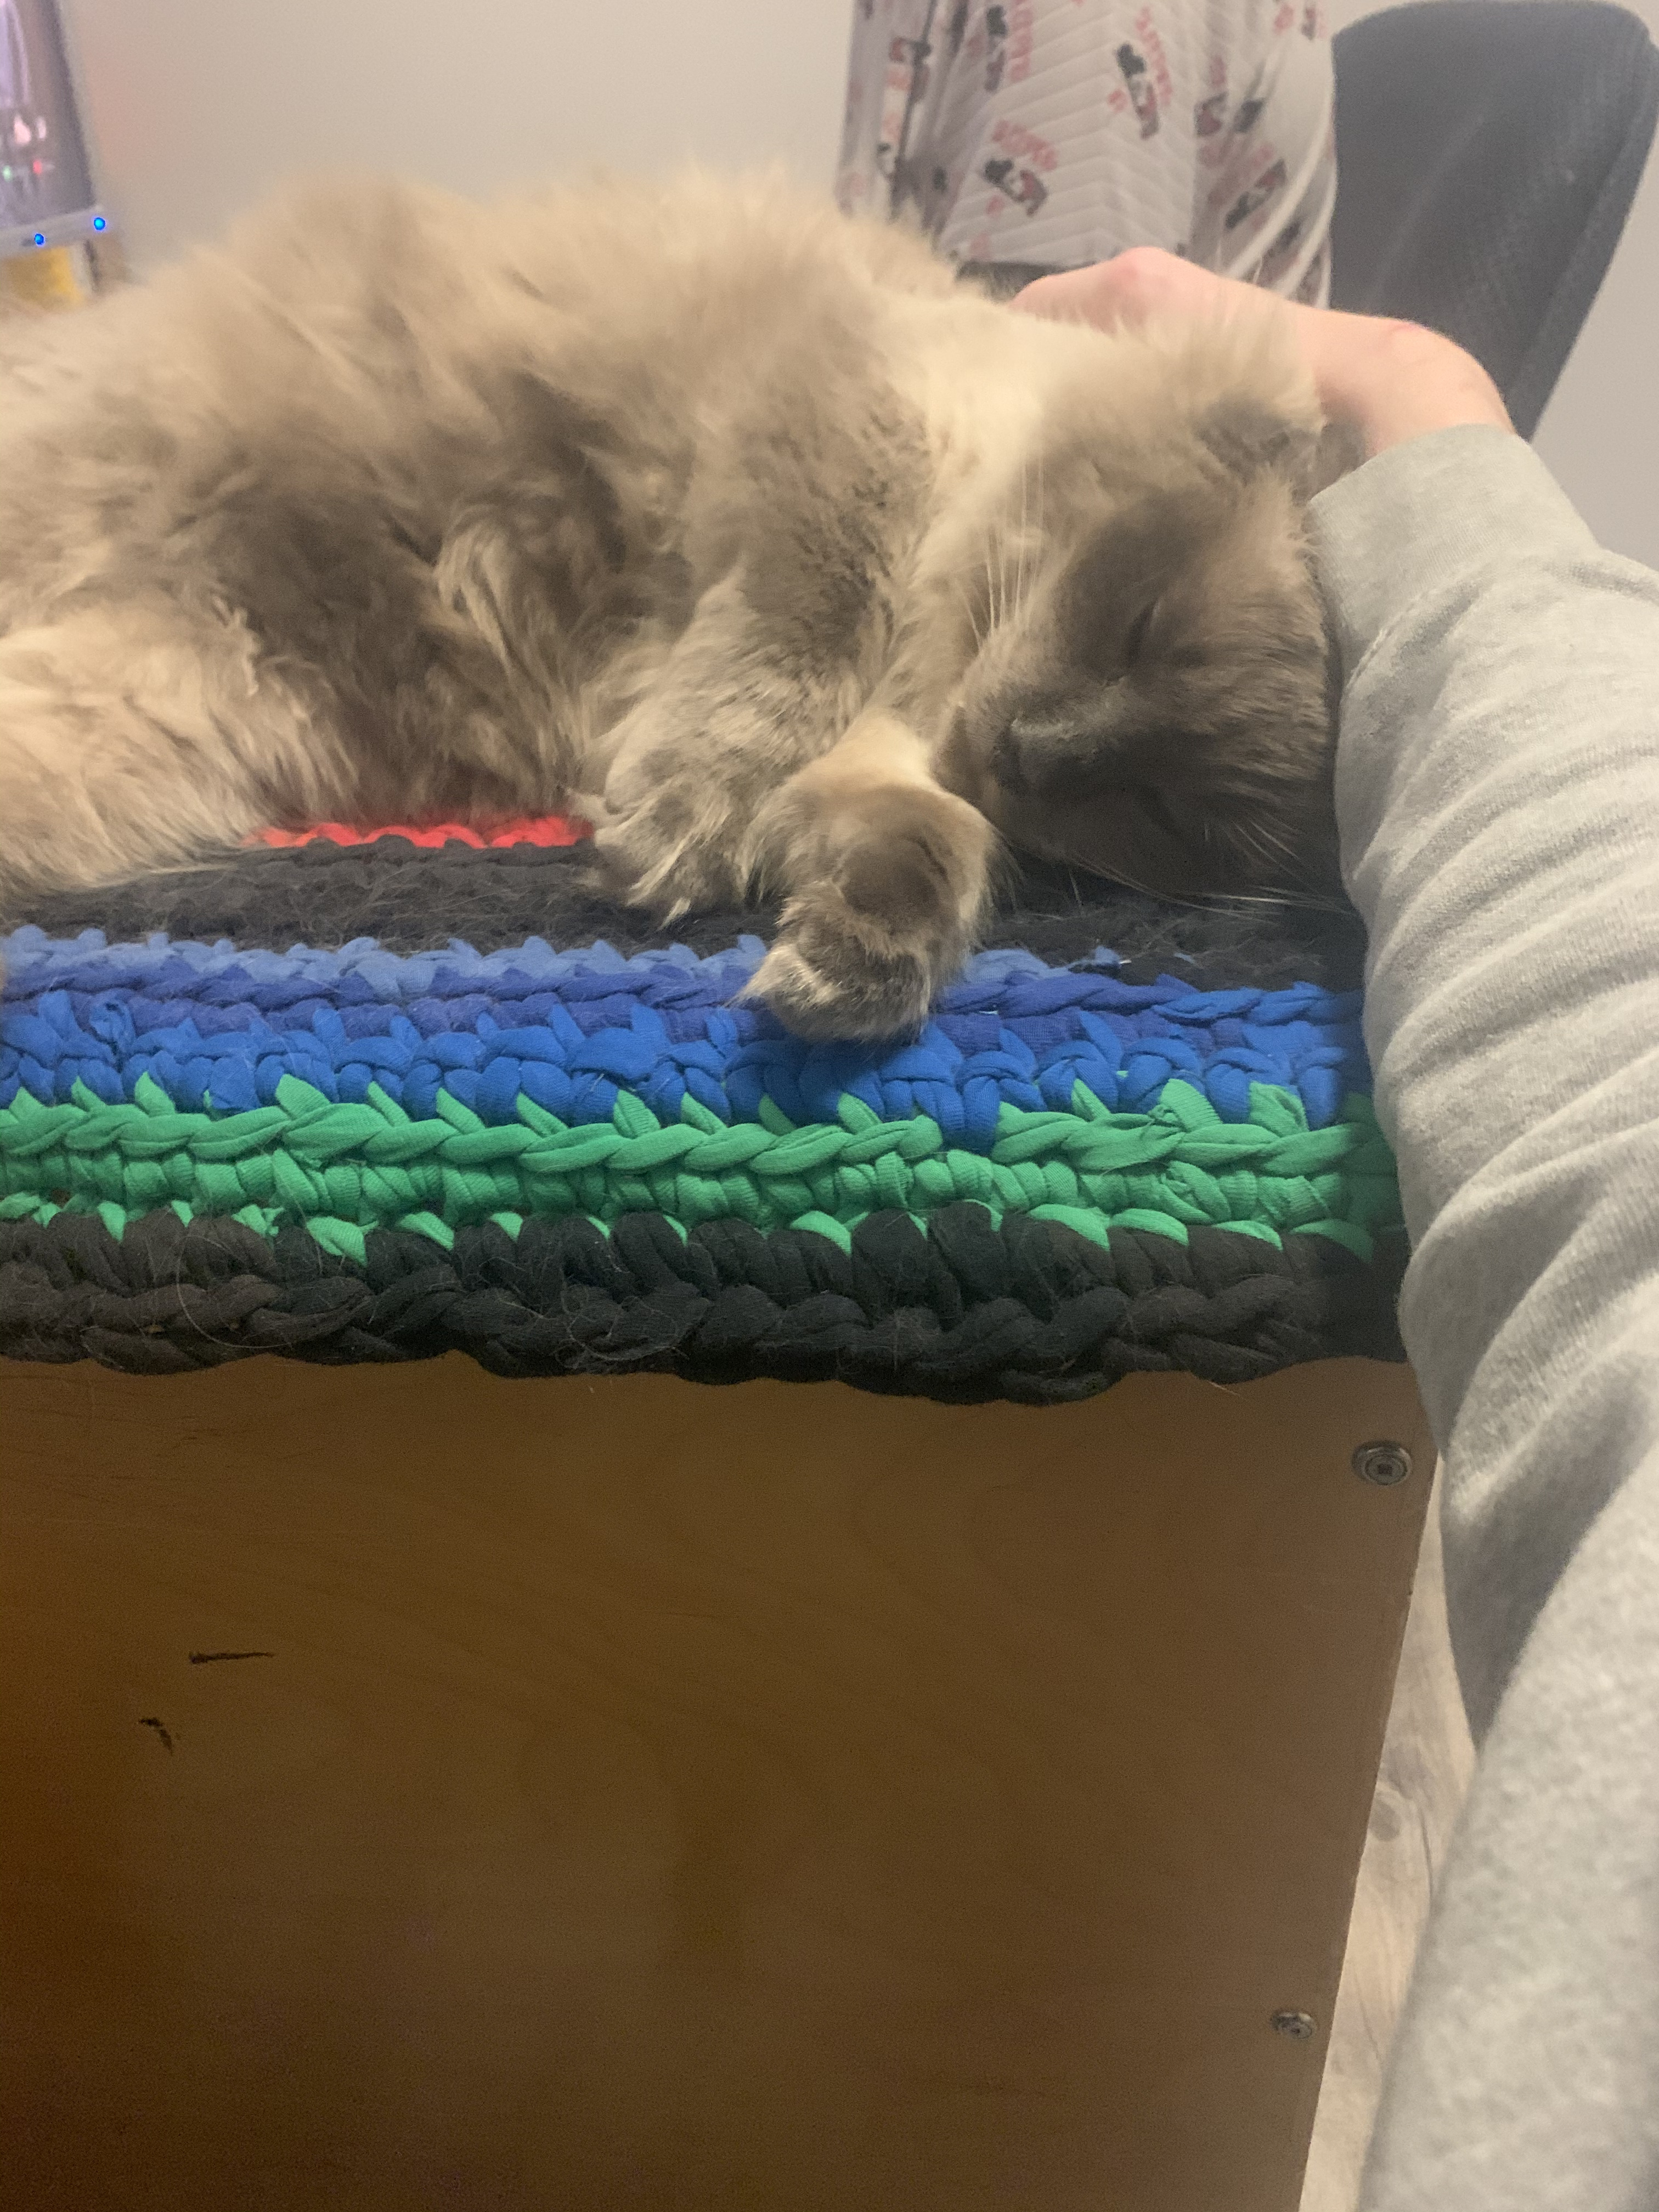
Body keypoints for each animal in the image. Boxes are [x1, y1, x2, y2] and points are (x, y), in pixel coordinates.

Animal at [0, 170, 1342, 1039]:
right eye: (1137, 622)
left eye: (1163, 810)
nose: (1031, 752)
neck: (932, 667)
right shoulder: (852, 419)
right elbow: (802, 630)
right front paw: (681, 822)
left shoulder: (892, 757)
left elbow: (923, 847)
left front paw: (843, 970)